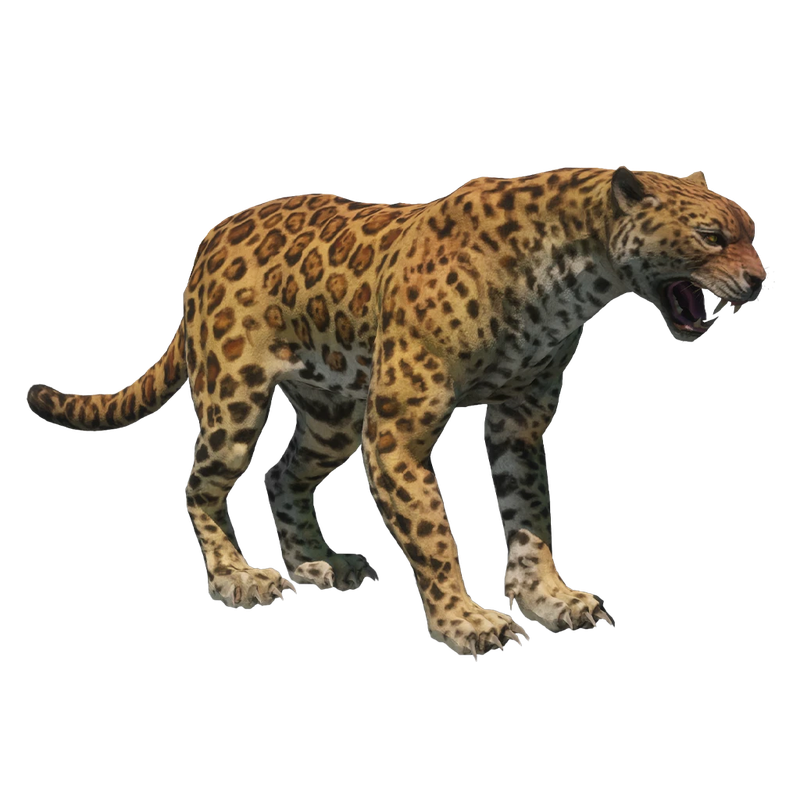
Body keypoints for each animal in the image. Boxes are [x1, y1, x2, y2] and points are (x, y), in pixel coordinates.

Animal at [26, 165, 766, 658]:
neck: (574, 273)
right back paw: (240, 577)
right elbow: (434, 534)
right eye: (711, 236)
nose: (761, 281)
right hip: (235, 396)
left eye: (751, 233)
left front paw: (548, 598)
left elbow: (531, 518)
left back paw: (318, 563)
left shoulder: (519, 420)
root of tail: (216, 234)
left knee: (282, 475)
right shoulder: (397, 434)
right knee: (200, 484)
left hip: (332, 417)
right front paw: (467, 622)